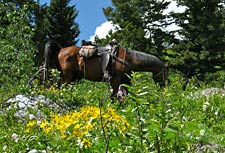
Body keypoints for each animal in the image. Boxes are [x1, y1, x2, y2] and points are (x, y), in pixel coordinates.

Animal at [40, 40, 168, 98]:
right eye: (165, 74)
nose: (164, 88)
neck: (128, 59)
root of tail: (61, 49)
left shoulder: (126, 81)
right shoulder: (115, 80)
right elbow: (114, 96)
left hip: (73, 77)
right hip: (67, 76)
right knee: (61, 88)